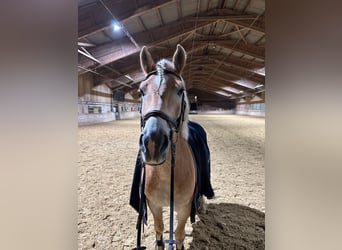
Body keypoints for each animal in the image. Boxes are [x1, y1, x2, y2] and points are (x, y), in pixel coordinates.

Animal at [138, 44, 196, 249]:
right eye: (141, 91)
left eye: (180, 90)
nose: (153, 144)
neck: (165, 174)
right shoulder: (154, 206)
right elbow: (159, 230)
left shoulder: (184, 207)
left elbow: (178, 235)